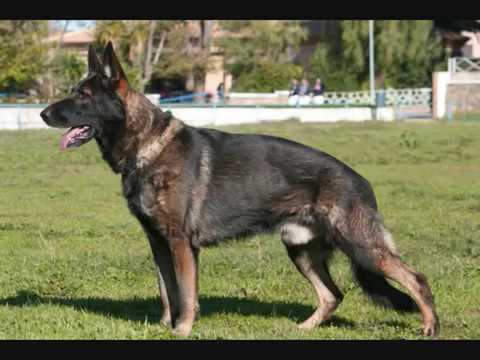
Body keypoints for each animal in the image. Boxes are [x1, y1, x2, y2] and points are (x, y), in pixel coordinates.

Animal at [41, 43, 438, 338]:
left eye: (83, 96)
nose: (43, 114)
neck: (146, 146)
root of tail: (361, 181)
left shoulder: (181, 244)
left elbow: (185, 294)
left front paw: (182, 330)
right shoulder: (158, 243)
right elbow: (166, 292)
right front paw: (164, 327)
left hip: (362, 247)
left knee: (416, 279)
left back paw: (430, 326)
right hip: (301, 250)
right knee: (332, 295)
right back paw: (304, 328)